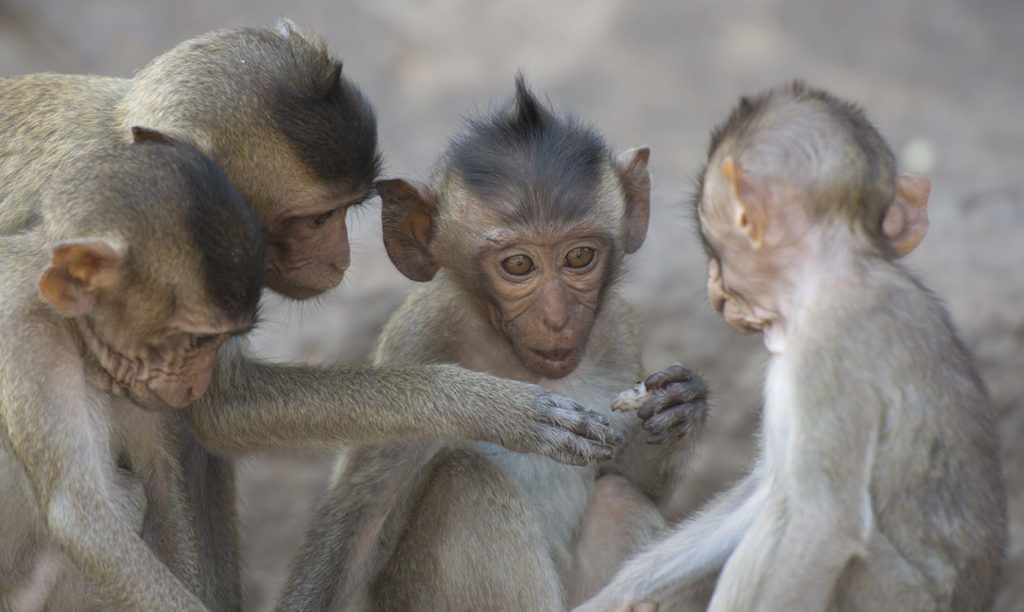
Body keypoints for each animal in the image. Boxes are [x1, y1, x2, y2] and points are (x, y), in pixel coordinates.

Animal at [0, 134, 268, 612]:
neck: (70, 329)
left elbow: (160, 476)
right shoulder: (28, 341)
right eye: (199, 340)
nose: (197, 385)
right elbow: (80, 517)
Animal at [276, 77, 712, 612]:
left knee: (619, 499)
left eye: (579, 256)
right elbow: (361, 520)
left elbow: (631, 479)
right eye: (518, 265)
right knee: (463, 478)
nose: (556, 318)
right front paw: (504, 412)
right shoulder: (420, 339)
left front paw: (683, 404)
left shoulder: (618, 328)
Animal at [577, 81, 1007, 612]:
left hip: (893, 595)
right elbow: (765, 490)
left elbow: (821, 522)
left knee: (792, 512)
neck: (834, 276)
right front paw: (616, 595)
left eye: (715, 245)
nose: (714, 285)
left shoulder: (828, 353)